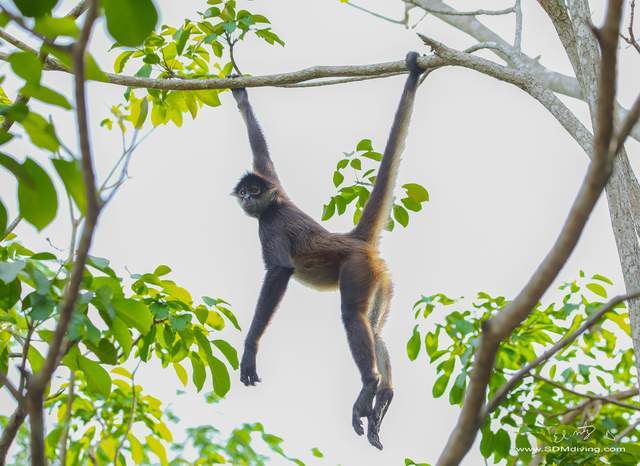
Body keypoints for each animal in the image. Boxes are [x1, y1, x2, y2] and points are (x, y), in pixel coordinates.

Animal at [230, 51, 424, 448]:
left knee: (353, 316)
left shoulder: (270, 223)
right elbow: (262, 155)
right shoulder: (275, 185)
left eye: (253, 192)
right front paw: (241, 95)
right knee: (375, 330)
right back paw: (385, 394)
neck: (275, 205)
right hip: (382, 279)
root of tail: (355, 239)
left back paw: (370, 383)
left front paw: (250, 350)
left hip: (357, 268)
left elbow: (279, 271)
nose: (247, 198)